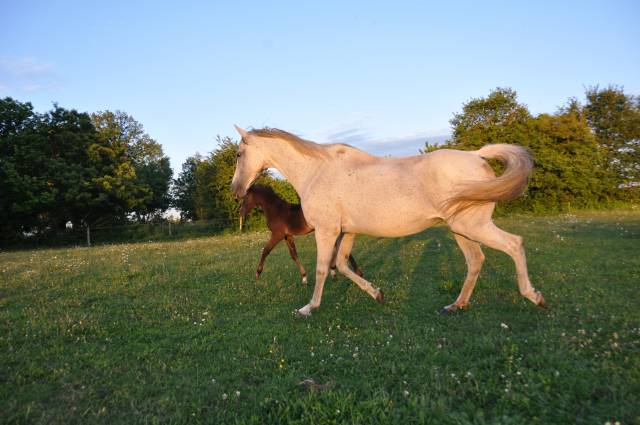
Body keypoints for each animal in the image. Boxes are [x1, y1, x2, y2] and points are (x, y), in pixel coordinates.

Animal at [230, 126, 544, 314]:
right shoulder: (348, 232)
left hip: (473, 226)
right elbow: (341, 266)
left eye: (238, 153)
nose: (235, 191)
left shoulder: (327, 231)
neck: (316, 172)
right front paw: (377, 294)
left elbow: (322, 269)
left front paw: (309, 308)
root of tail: (476, 156)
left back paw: (533, 296)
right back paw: (456, 305)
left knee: (514, 244)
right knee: (476, 261)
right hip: (461, 230)